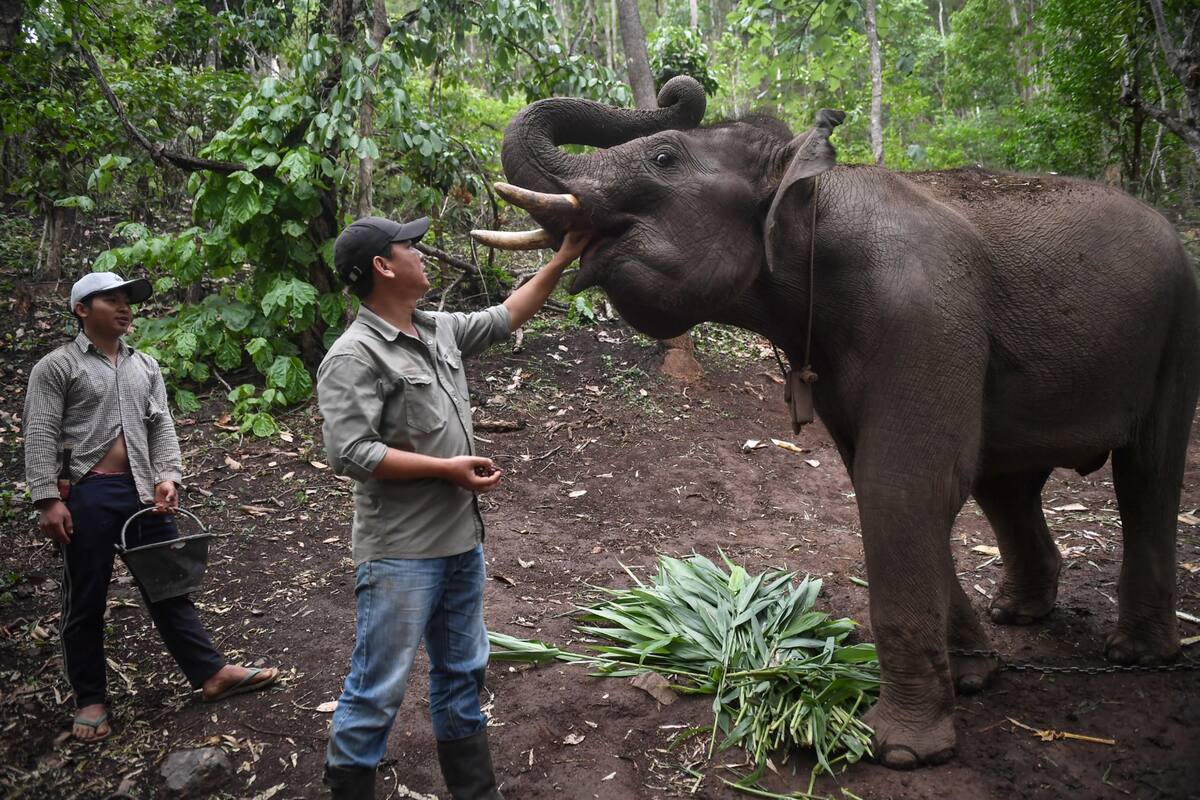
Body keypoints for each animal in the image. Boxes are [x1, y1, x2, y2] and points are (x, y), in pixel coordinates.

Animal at [472, 76, 1199, 769]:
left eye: (664, 157)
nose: (680, 88)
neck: (816, 190)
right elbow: (882, 480)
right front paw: (972, 678)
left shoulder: (924, 314)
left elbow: (901, 487)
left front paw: (899, 750)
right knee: (1006, 483)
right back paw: (1017, 613)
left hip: (1178, 328)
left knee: (1147, 474)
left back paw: (1136, 654)